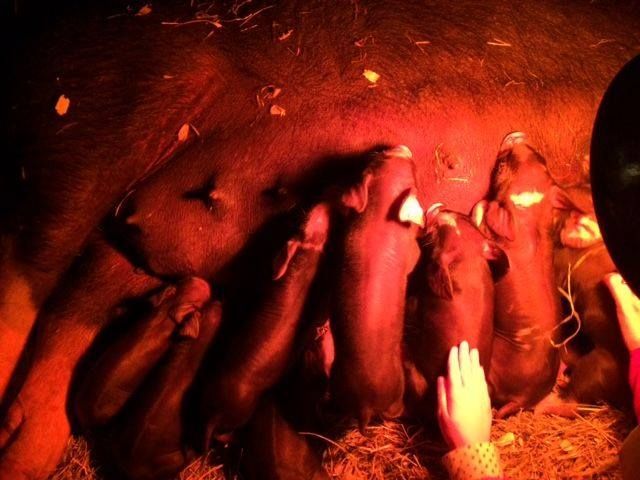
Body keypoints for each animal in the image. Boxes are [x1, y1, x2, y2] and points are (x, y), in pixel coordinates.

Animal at [329, 146, 424, 428]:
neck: (381, 217)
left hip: (337, 382)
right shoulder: (411, 253)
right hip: (396, 390)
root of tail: (364, 405)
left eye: (378, 157)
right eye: (414, 175)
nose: (402, 148)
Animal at [472, 132, 579, 417]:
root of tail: (522, 398)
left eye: (501, 166)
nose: (518, 135)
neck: (528, 222)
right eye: (542, 161)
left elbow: (482, 207)